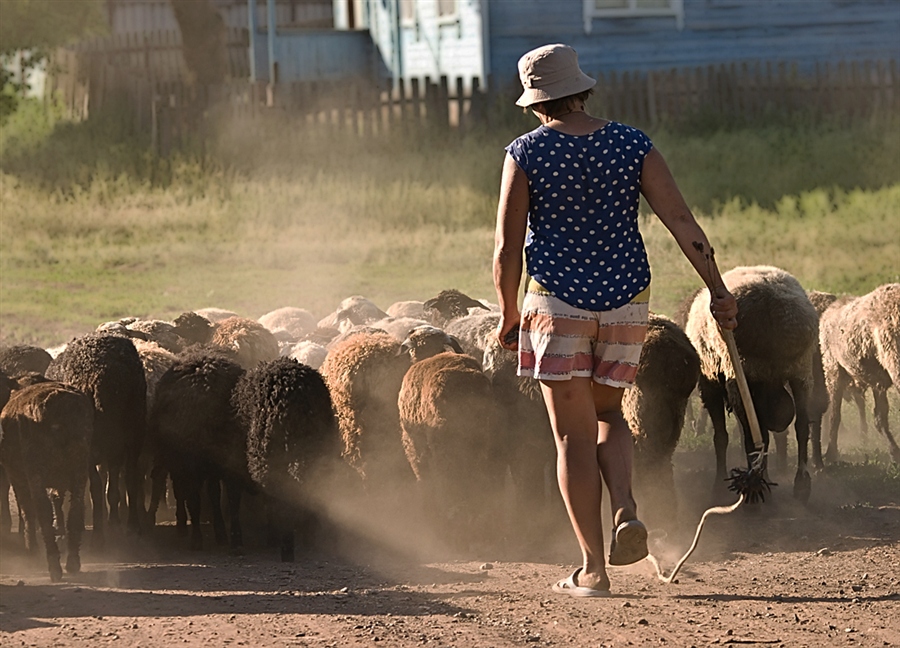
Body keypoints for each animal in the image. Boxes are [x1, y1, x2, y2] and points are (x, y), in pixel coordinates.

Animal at [0, 380, 93, 584]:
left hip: (35, 473)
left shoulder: (17, 477)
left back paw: (52, 565)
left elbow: (28, 511)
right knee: (75, 510)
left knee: (41, 510)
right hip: (80, 470)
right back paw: (72, 562)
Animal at [45, 332, 147, 540]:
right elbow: (112, 486)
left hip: (93, 442)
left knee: (97, 486)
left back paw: (99, 534)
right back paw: (131, 525)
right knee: (130, 477)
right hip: (134, 428)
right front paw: (114, 521)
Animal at [684, 264, 824, 502]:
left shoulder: (716, 382)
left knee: (749, 435)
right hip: (802, 371)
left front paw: (727, 484)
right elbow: (768, 434)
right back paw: (801, 484)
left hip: (741, 373)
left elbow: (726, 437)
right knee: (802, 426)